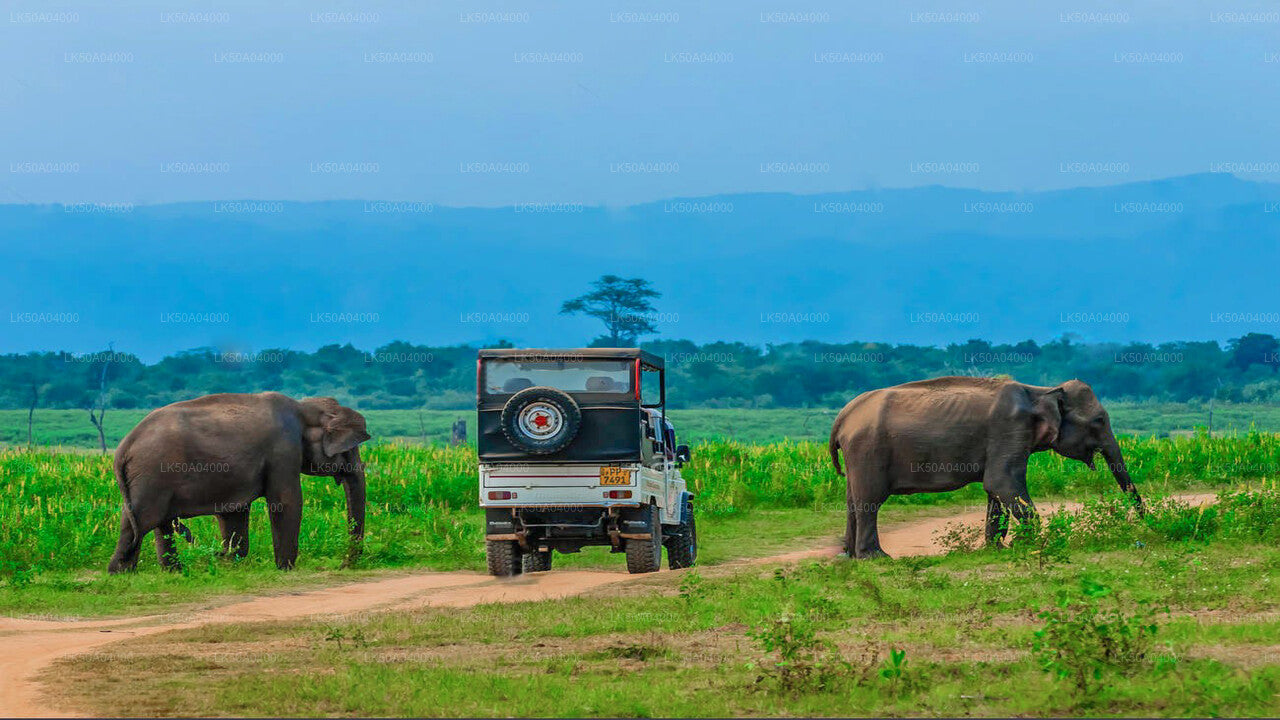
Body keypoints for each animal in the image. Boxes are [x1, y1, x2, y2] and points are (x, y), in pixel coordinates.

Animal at [105, 392, 371, 571]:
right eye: (350, 449)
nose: (344, 564)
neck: (304, 408)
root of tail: (124, 447)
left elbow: (234, 512)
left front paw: (233, 561)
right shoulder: (283, 451)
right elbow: (285, 502)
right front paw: (285, 568)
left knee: (148, 521)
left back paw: (165, 572)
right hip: (152, 475)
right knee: (143, 520)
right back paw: (124, 573)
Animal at [829, 379, 1152, 558]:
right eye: (1099, 420)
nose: (1145, 529)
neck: (1040, 391)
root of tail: (843, 416)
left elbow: (995, 490)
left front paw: (996, 549)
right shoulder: (1010, 427)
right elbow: (1002, 482)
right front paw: (1025, 544)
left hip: (857, 454)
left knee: (853, 500)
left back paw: (850, 556)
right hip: (868, 450)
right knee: (870, 500)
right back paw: (876, 558)